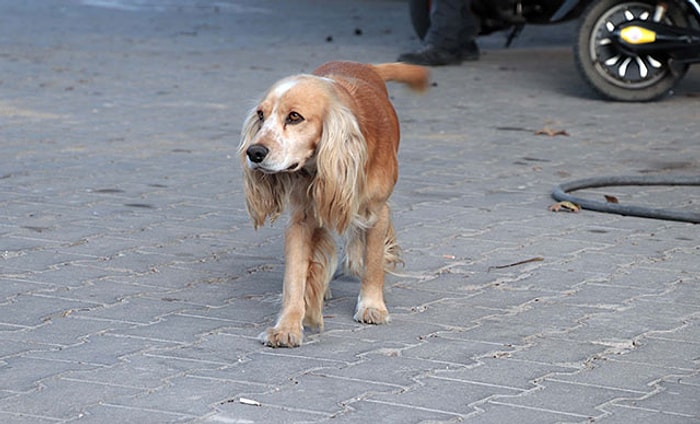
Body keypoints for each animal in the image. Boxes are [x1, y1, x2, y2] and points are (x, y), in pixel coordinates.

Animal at [239, 61, 426, 346]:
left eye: (294, 117)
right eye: (261, 115)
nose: (254, 152)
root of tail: (367, 66)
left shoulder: (376, 211)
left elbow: (373, 262)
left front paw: (372, 306)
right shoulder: (301, 219)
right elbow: (294, 278)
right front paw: (287, 326)